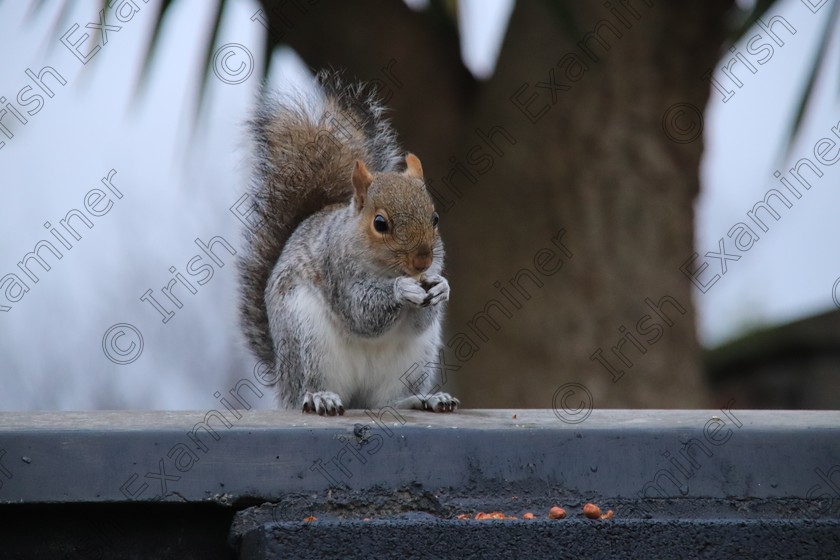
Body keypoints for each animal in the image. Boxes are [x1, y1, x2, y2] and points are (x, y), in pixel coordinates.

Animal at [236, 72, 460, 416]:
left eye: (434, 218)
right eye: (380, 224)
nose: (422, 262)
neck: (385, 270)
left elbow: (420, 320)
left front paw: (440, 287)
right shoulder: (337, 271)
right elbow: (360, 312)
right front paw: (402, 290)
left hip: (412, 362)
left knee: (385, 402)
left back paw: (425, 400)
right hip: (306, 339)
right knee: (307, 390)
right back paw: (320, 398)